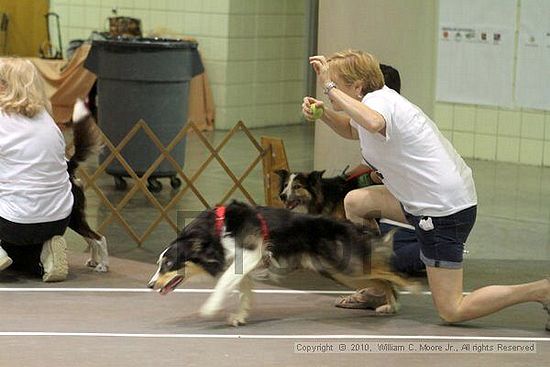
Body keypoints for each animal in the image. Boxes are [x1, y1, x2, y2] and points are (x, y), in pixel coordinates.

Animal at [147, 201, 414, 328]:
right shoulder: (243, 264)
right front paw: (240, 316)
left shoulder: (251, 253)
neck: (215, 233)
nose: (150, 285)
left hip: (345, 265)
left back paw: (413, 286)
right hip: (338, 271)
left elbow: (223, 283)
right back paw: (391, 306)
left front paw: (210, 308)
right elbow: (243, 292)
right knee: (381, 279)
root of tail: (349, 226)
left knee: (387, 272)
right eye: (159, 263)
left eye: (167, 264)